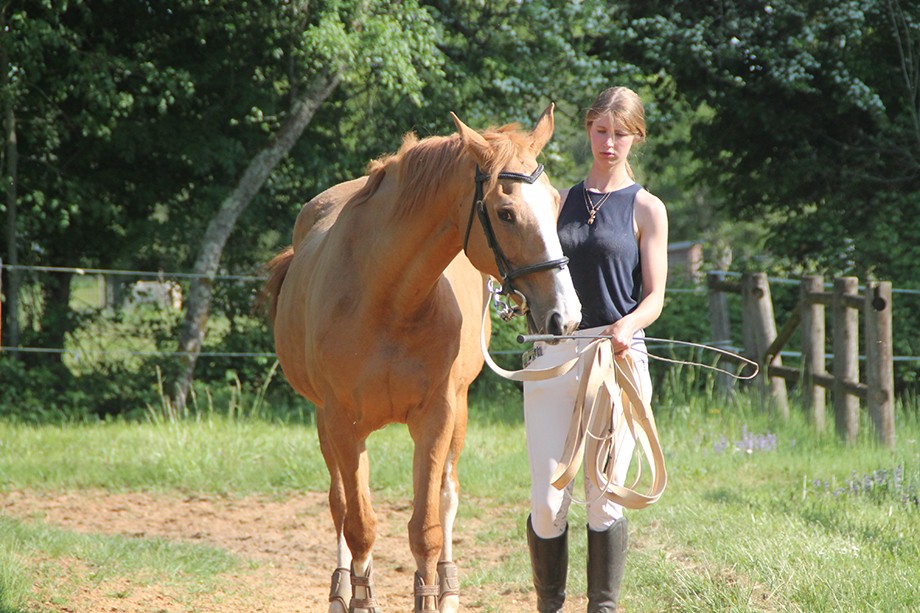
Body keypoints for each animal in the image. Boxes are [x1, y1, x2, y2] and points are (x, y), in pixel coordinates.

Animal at [263, 105, 581, 613]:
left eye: (554, 204)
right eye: (506, 213)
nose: (565, 317)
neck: (389, 299)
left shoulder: (437, 416)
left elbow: (426, 529)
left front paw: (431, 594)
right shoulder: (341, 422)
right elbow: (358, 524)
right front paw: (359, 596)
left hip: (458, 415)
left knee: (447, 496)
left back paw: (447, 587)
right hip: (327, 424)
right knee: (341, 504)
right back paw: (341, 588)